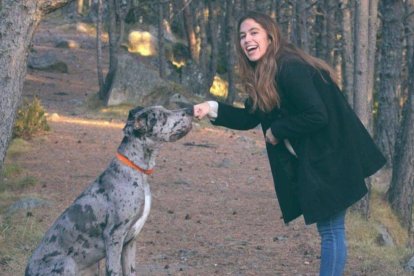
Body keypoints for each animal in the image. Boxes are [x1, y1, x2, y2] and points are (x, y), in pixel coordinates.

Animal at [25, 104, 193, 274]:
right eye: (162, 115)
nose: (190, 109)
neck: (136, 170)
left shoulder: (130, 242)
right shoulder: (114, 236)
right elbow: (114, 271)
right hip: (67, 262)